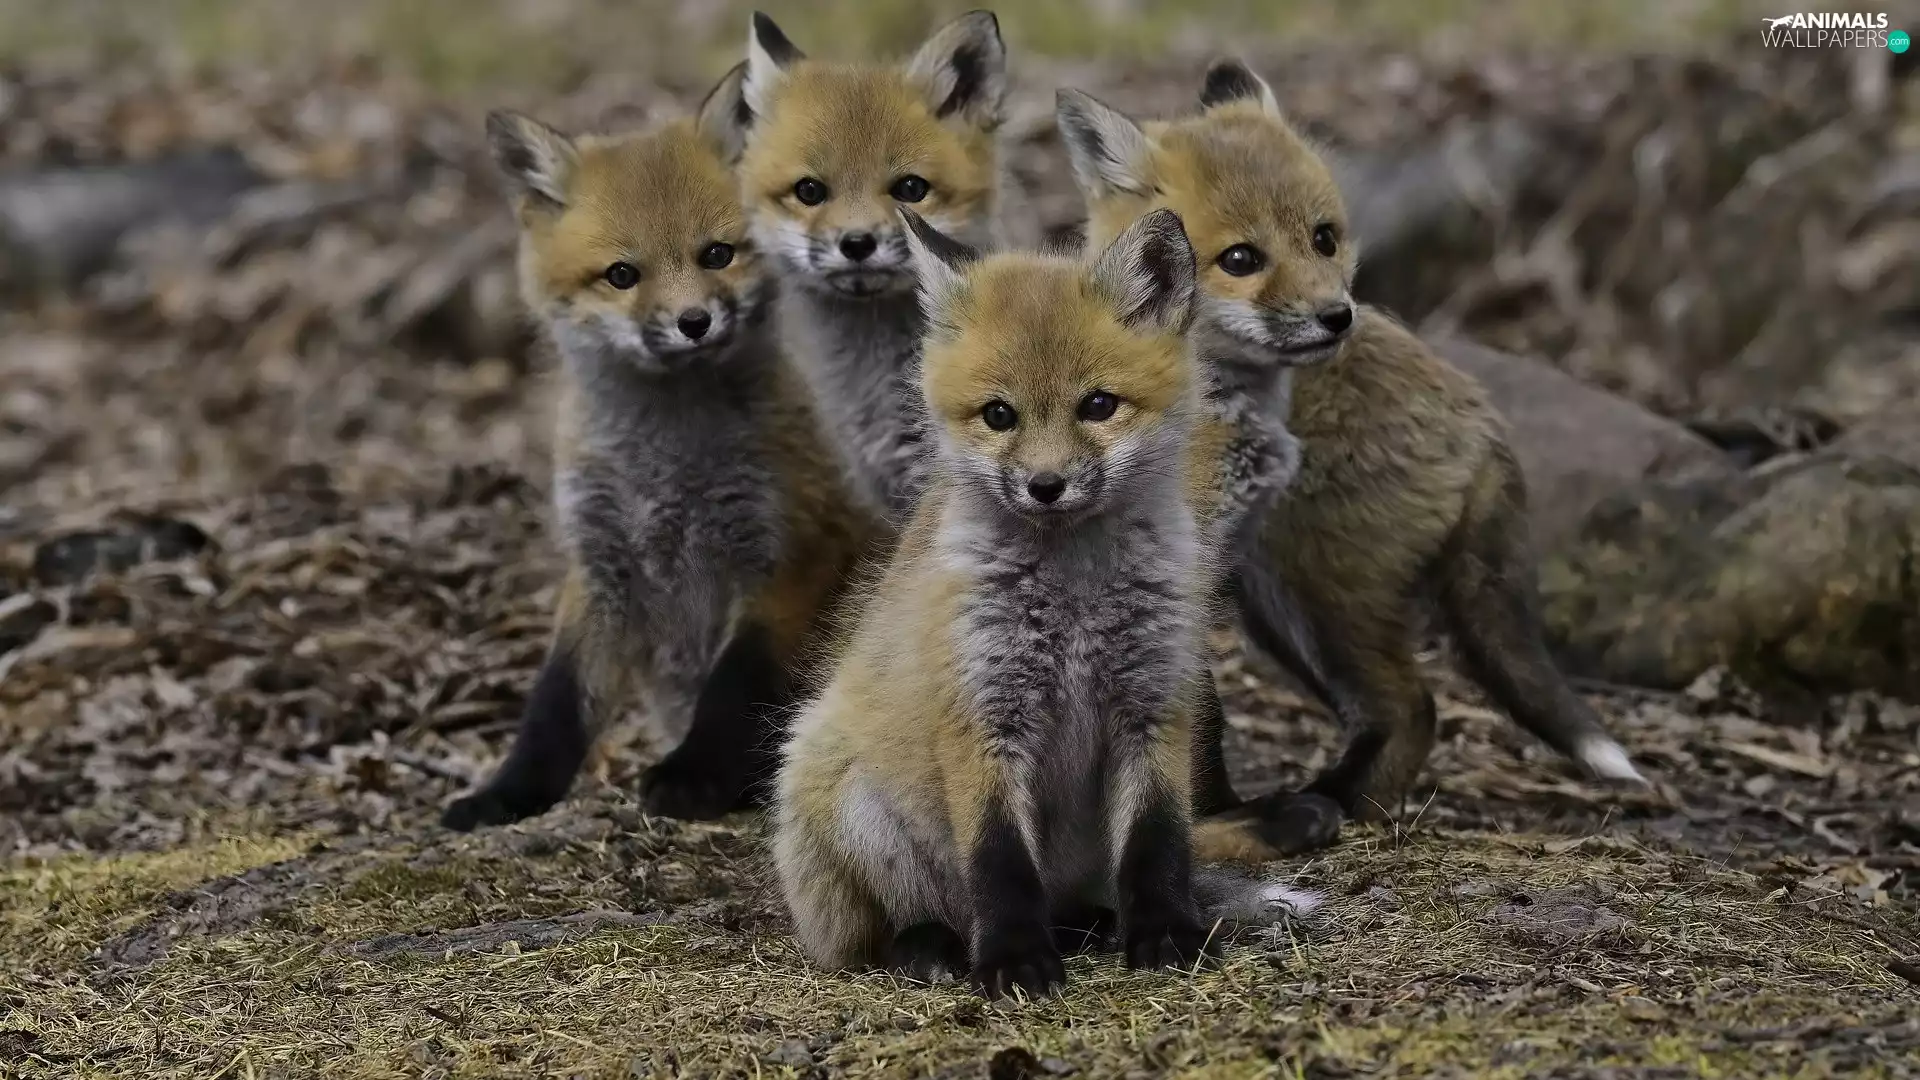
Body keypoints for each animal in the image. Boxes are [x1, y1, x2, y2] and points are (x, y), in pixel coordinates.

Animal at [440, 65, 876, 832]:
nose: (693, 322)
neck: (665, 472)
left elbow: (733, 690)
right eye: (622, 275)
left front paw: (692, 778)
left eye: (716, 255)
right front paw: (507, 795)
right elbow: (554, 707)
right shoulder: (600, 568)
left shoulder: (783, 558)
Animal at [772, 207, 1320, 998]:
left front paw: (1166, 936)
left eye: (1098, 406)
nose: (1046, 486)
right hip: (845, 802)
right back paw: (937, 948)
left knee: (1094, 897)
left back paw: (1093, 925)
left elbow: (1159, 846)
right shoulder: (982, 714)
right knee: (894, 929)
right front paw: (1014, 961)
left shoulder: (1155, 704)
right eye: (999, 415)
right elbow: (999, 863)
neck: (1075, 604)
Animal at [1053, 62, 1646, 850]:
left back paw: (1325, 807)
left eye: (1324, 238)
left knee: (1413, 707)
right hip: (1283, 606)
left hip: (1316, 600)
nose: (1338, 317)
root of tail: (1480, 407)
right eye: (1240, 260)